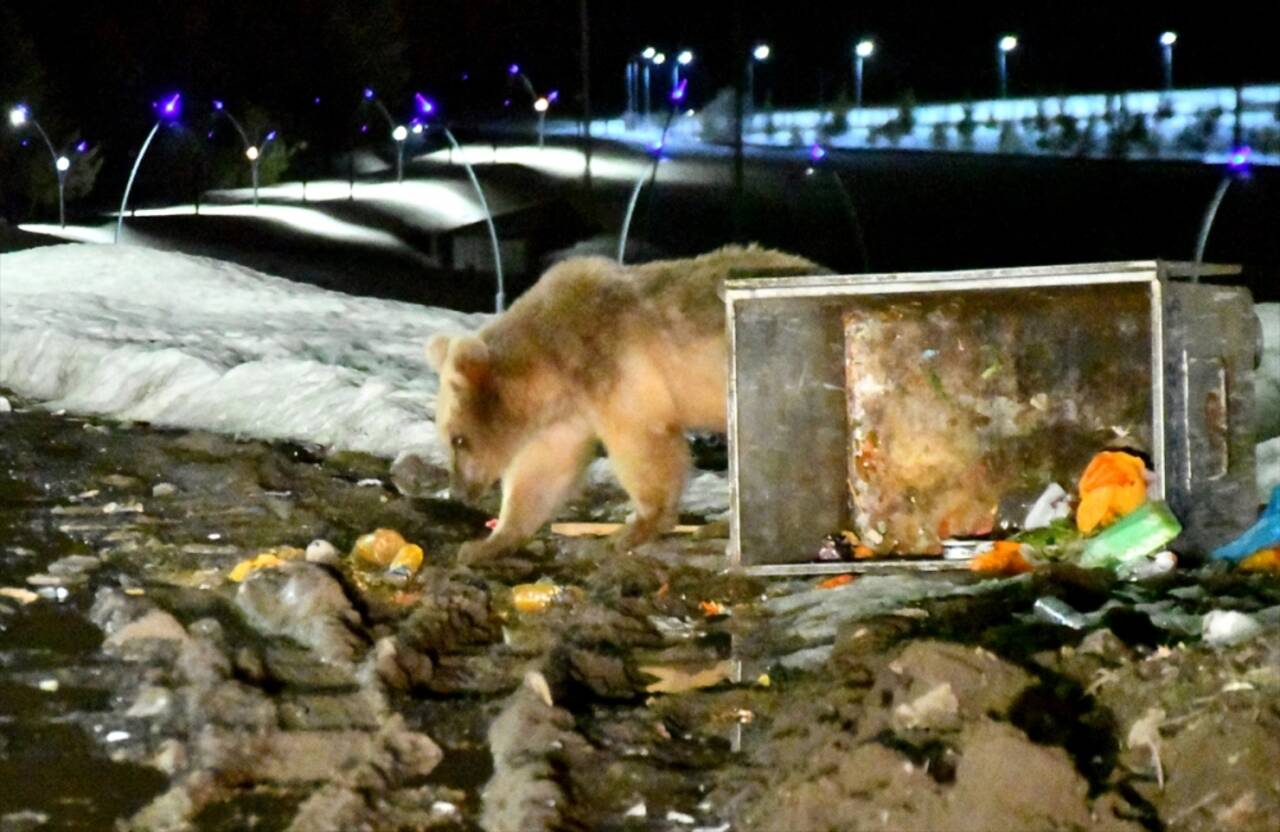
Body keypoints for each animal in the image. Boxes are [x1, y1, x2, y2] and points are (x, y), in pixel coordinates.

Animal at [430, 243, 824, 560]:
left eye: (458, 439)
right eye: (448, 439)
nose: (458, 493)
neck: (551, 364)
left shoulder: (612, 365)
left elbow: (642, 442)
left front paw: (635, 527)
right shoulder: (571, 409)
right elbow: (543, 468)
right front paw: (486, 543)